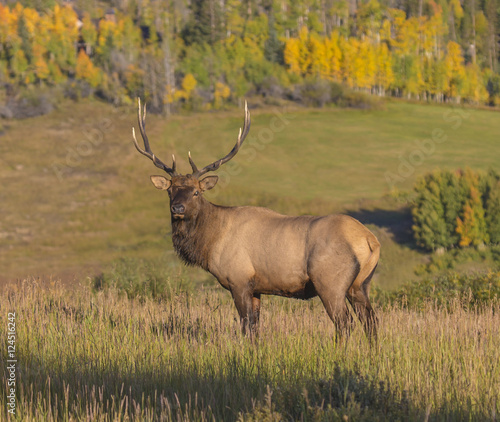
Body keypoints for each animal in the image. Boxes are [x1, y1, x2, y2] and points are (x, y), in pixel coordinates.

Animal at [131, 99, 380, 342]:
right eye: (170, 190)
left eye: (196, 192)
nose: (178, 208)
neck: (210, 242)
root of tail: (370, 240)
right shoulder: (257, 288)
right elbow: (256, 327)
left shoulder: (238, 279)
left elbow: (246, 326)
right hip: (360, 284)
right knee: (371, 321)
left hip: (330, 282)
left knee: (344, 323)